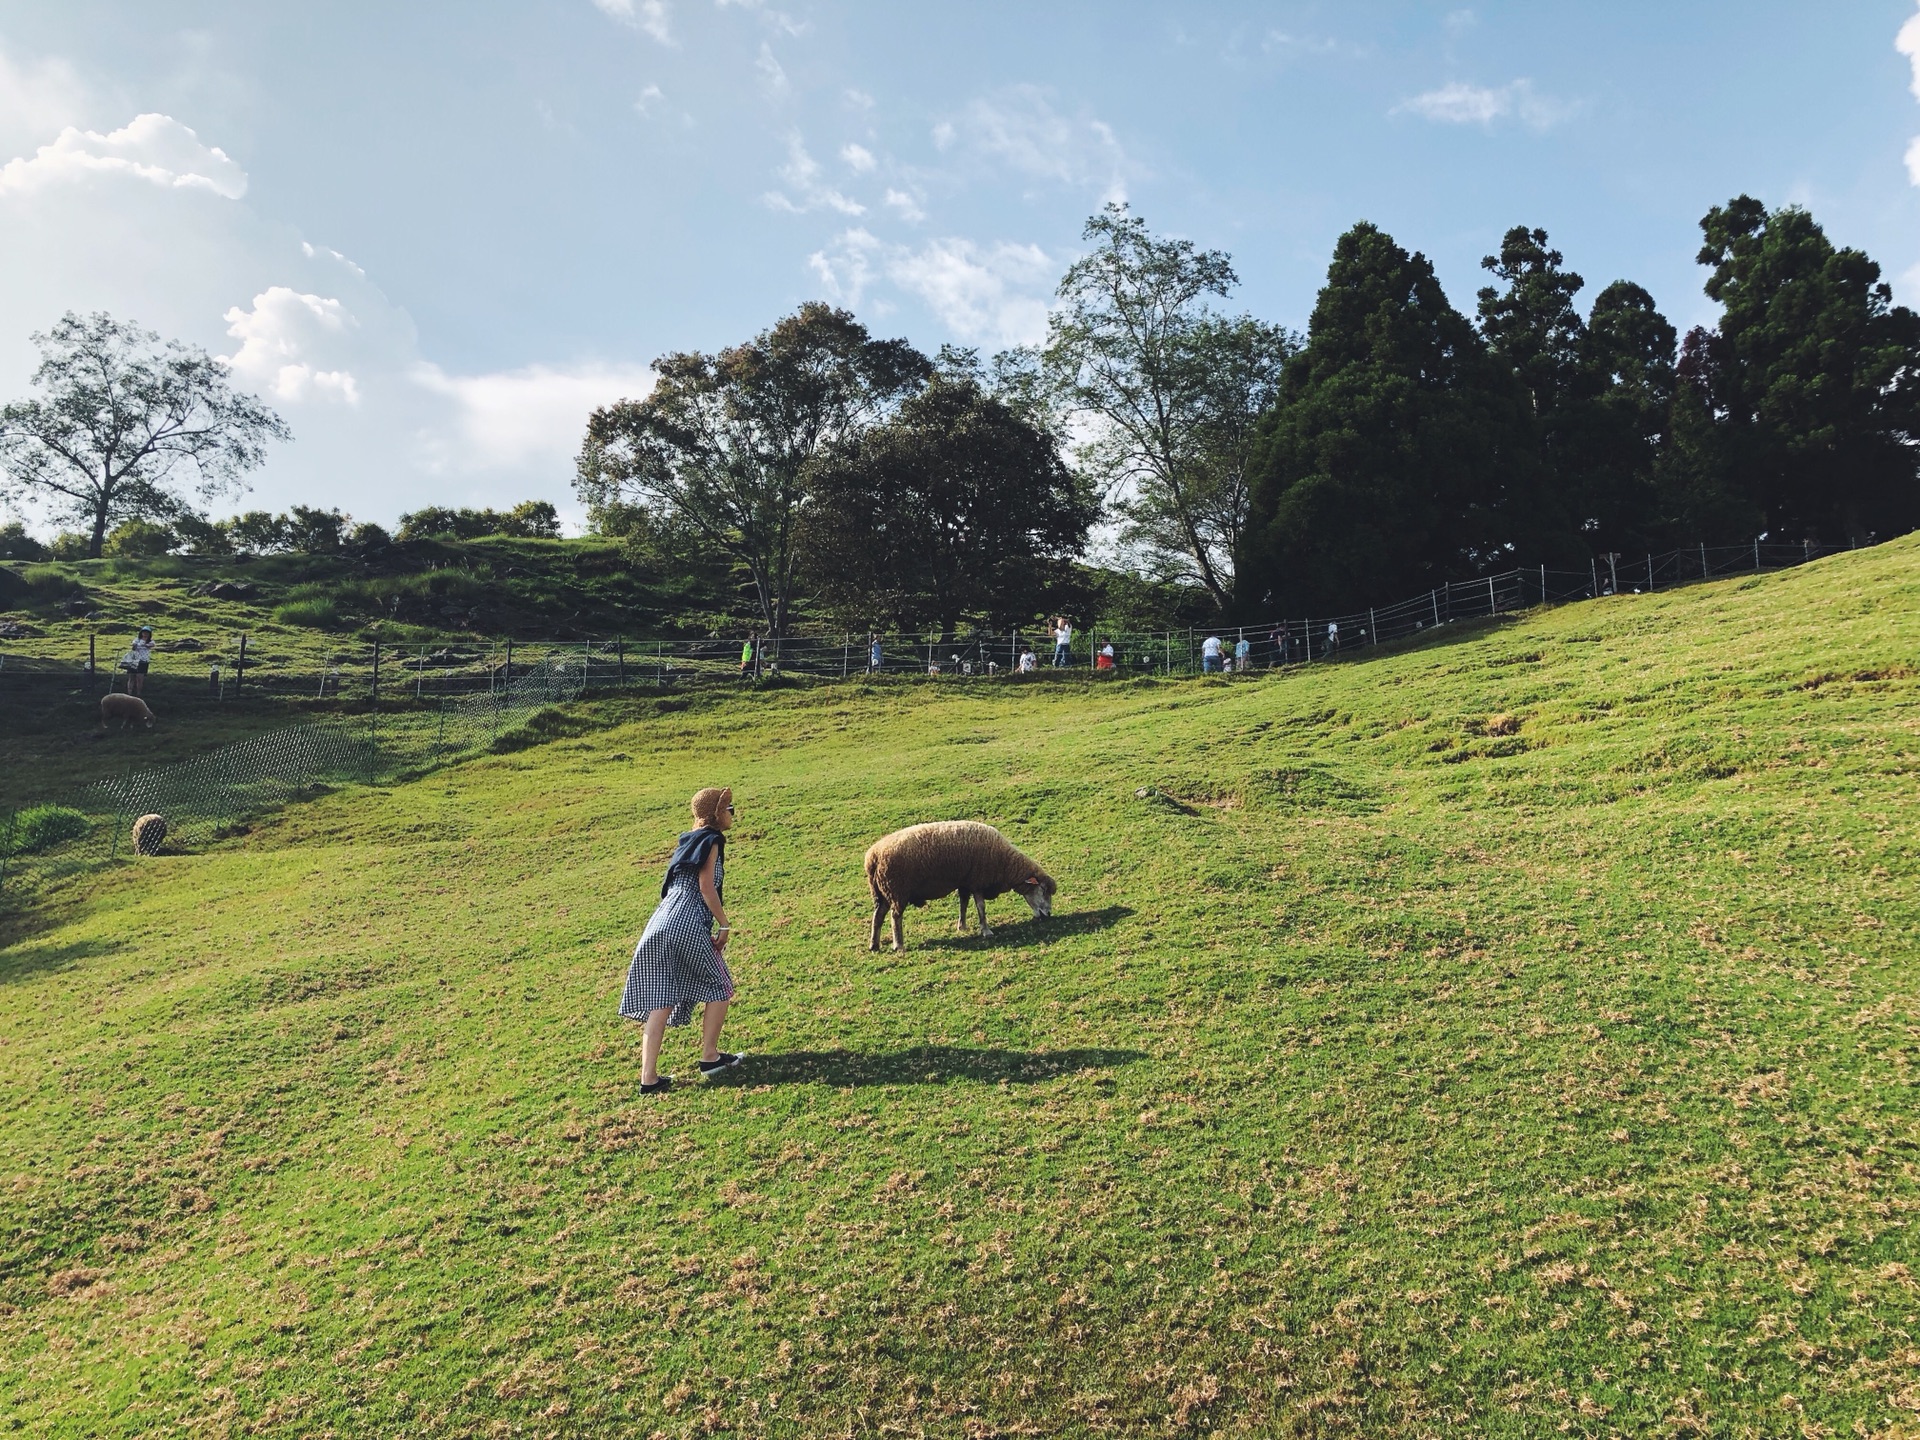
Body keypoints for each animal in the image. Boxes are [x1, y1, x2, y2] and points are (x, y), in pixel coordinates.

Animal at [864, 821, 1059, 960]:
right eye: (1043, 890)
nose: (1048, 914)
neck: (1005, 863)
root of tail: (873, 858)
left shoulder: (965, 882)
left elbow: (963, 903)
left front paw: (962, 926)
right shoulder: (978, 882)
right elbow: (981, 907)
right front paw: (986, 931)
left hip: (882, 893)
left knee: (878, 917)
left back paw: (874, 945)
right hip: (897, 891)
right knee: (895, 918)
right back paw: (899, 945)